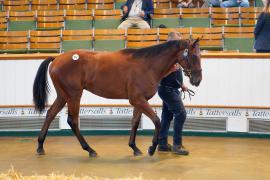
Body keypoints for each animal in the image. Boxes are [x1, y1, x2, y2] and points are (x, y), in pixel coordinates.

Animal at [32, 38, 201, 157]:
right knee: (72, 121)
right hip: (74, 95)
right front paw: (152, 148)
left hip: (63, 96)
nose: (197, 80)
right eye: (193, 55)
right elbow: (157, 120)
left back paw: (40, 146)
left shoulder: (140, 101)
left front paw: (134, 147)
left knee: (50, 114)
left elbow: (135, 122)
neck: (147, 65)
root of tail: (57, 59)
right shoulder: (137, 99)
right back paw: (90, 150)